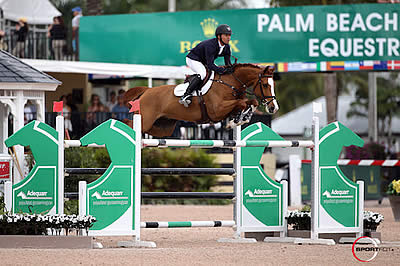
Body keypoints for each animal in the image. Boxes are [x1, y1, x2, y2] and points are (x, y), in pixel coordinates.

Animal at [123, 62, 280, 137]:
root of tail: (147, 91)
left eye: (273, 84)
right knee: (129, 123)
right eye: (265, 85)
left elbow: (250, 102)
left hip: (163, 127)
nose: (274, 108)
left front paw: (240, 119)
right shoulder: (217, 111)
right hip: (146, 120)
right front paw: (236, 121)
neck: (230, 84)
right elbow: (241, 103)